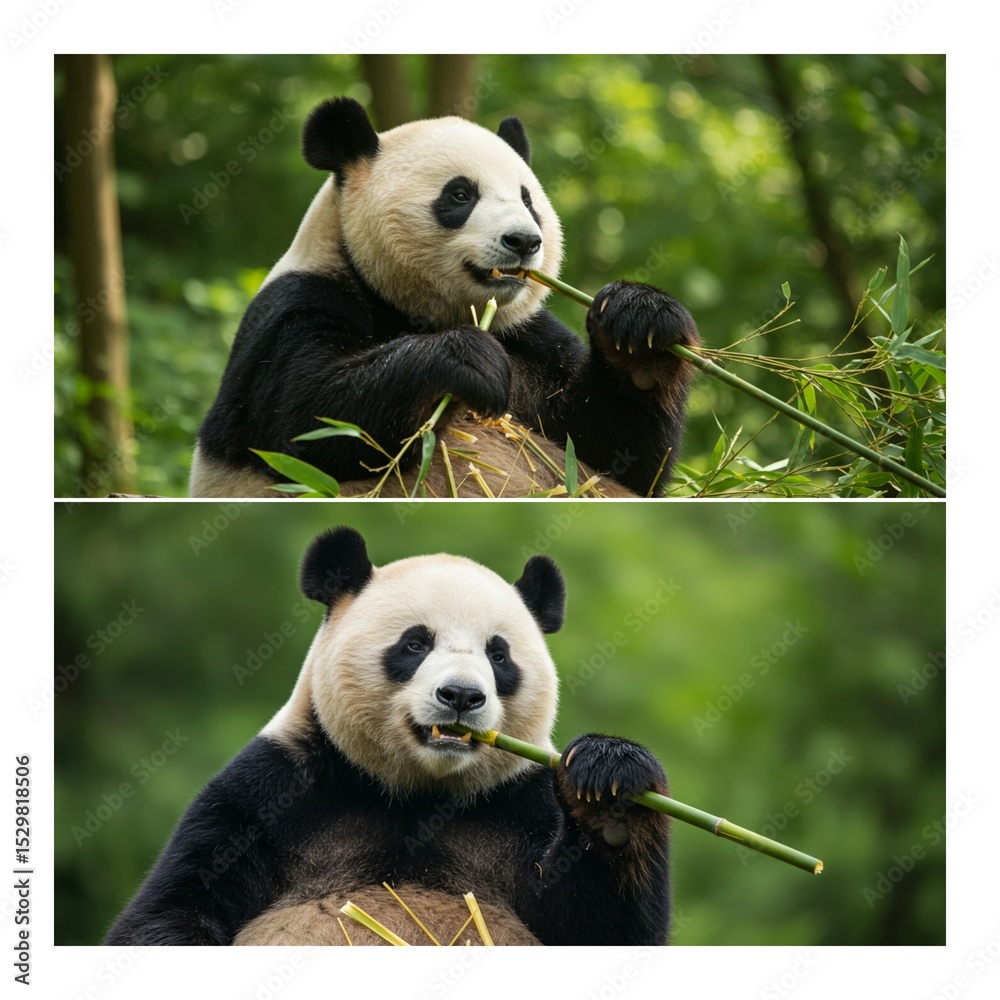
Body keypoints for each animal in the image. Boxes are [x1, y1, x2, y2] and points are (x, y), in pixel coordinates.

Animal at [103, 526, 671, 946]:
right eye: (415, 644)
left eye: (498, 654)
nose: (461, 696)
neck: (418, 794)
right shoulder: (268, 793)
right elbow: (172, 913)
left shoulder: (519, 799)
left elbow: (603, 927)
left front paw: (610, 792)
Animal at [189, 97, 699, 499]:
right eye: (459, 194)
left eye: (527, 199)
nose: (523, 241)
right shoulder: (296, 308)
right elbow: (308, 423)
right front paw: (468, 362)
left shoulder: (532, 338)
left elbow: (614, 452)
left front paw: (641, 326)